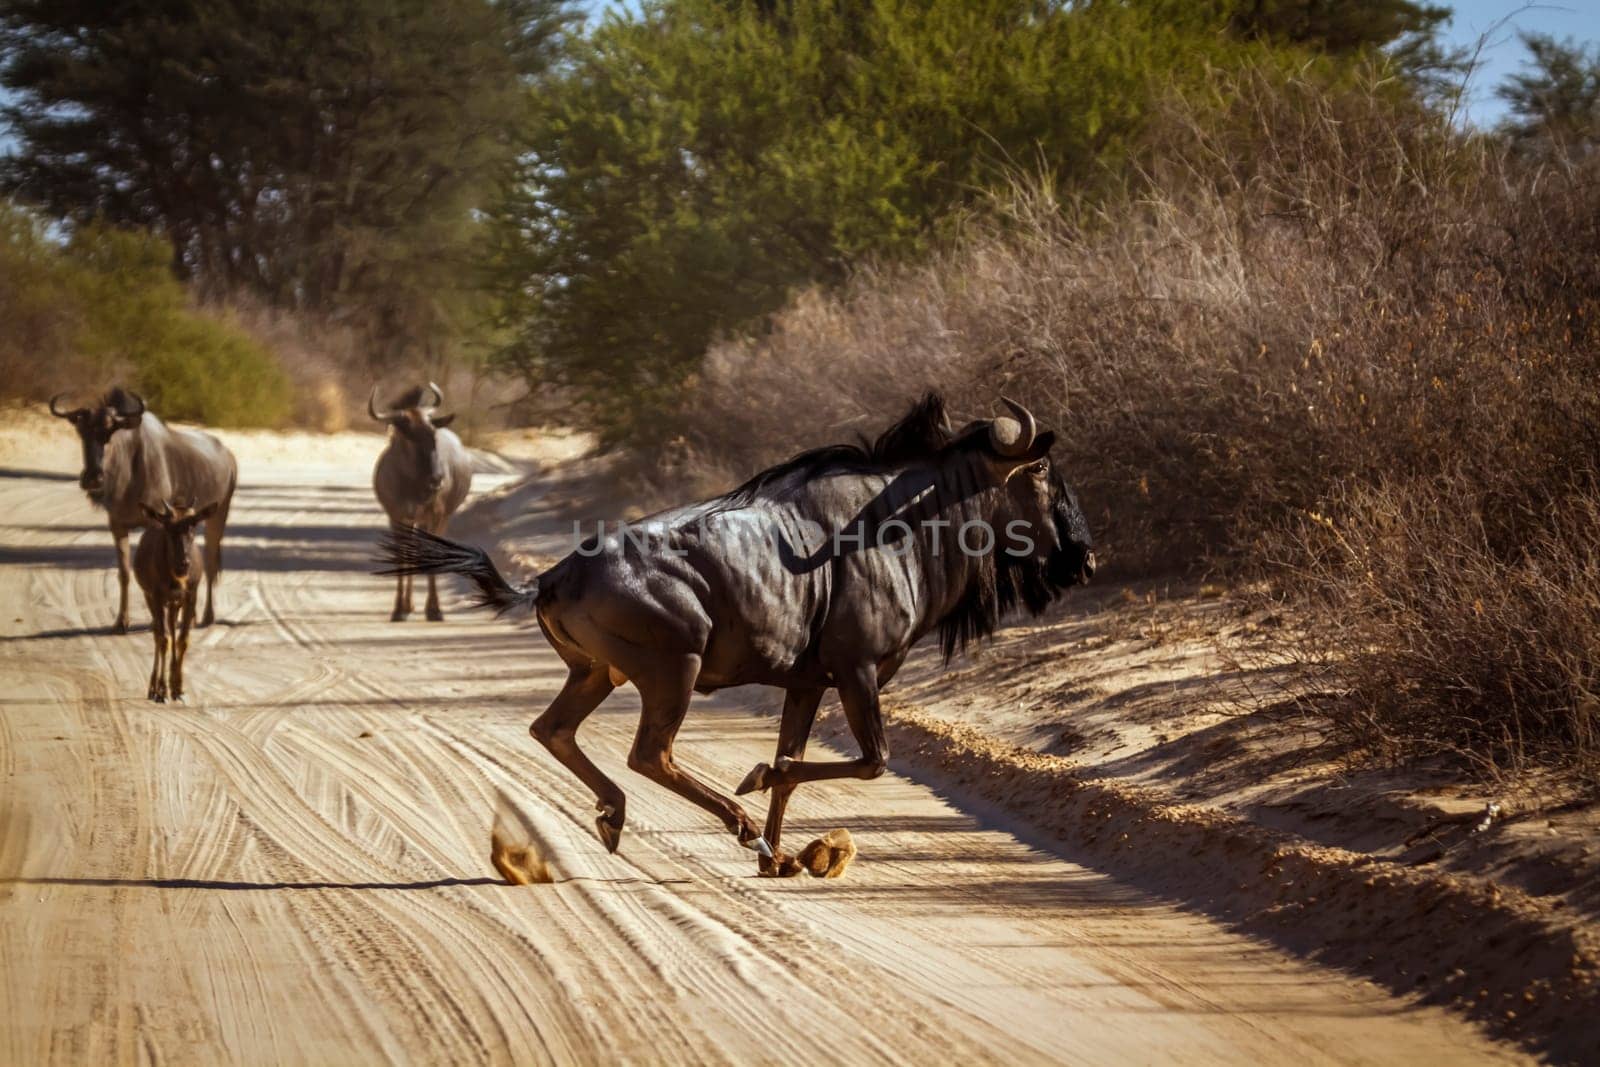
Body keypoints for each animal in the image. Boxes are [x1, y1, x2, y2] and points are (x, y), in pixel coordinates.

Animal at [135, 502, 217, 703]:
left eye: (193, 525)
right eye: (169, 527)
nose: (183, 564)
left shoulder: (190, 596)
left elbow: (182, 639)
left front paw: (178, 688)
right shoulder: (156, 596)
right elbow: (163, 639)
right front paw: (161, 691)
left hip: (173, 604)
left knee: (172, 629)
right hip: (151, 597)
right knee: (158, 633)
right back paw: (153, 687)